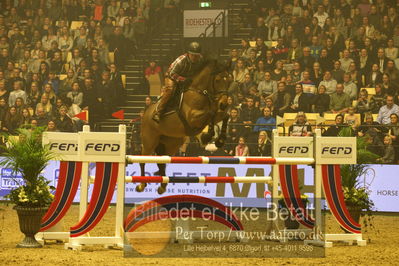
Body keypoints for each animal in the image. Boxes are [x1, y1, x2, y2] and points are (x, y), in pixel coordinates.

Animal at [138, 59, 231, 193]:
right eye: (218, 80)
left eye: (229, 80)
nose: (224, 104)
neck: (200, 92)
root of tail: (146, 114)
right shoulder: (192, 118)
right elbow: (211, 113)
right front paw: (207, 136)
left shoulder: (216, 113)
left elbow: (224, 115)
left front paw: (220, 140)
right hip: (149, 142)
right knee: (142, 159)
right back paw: (141, 184)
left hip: (171, 144)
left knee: (162, 162)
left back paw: (162, 186)